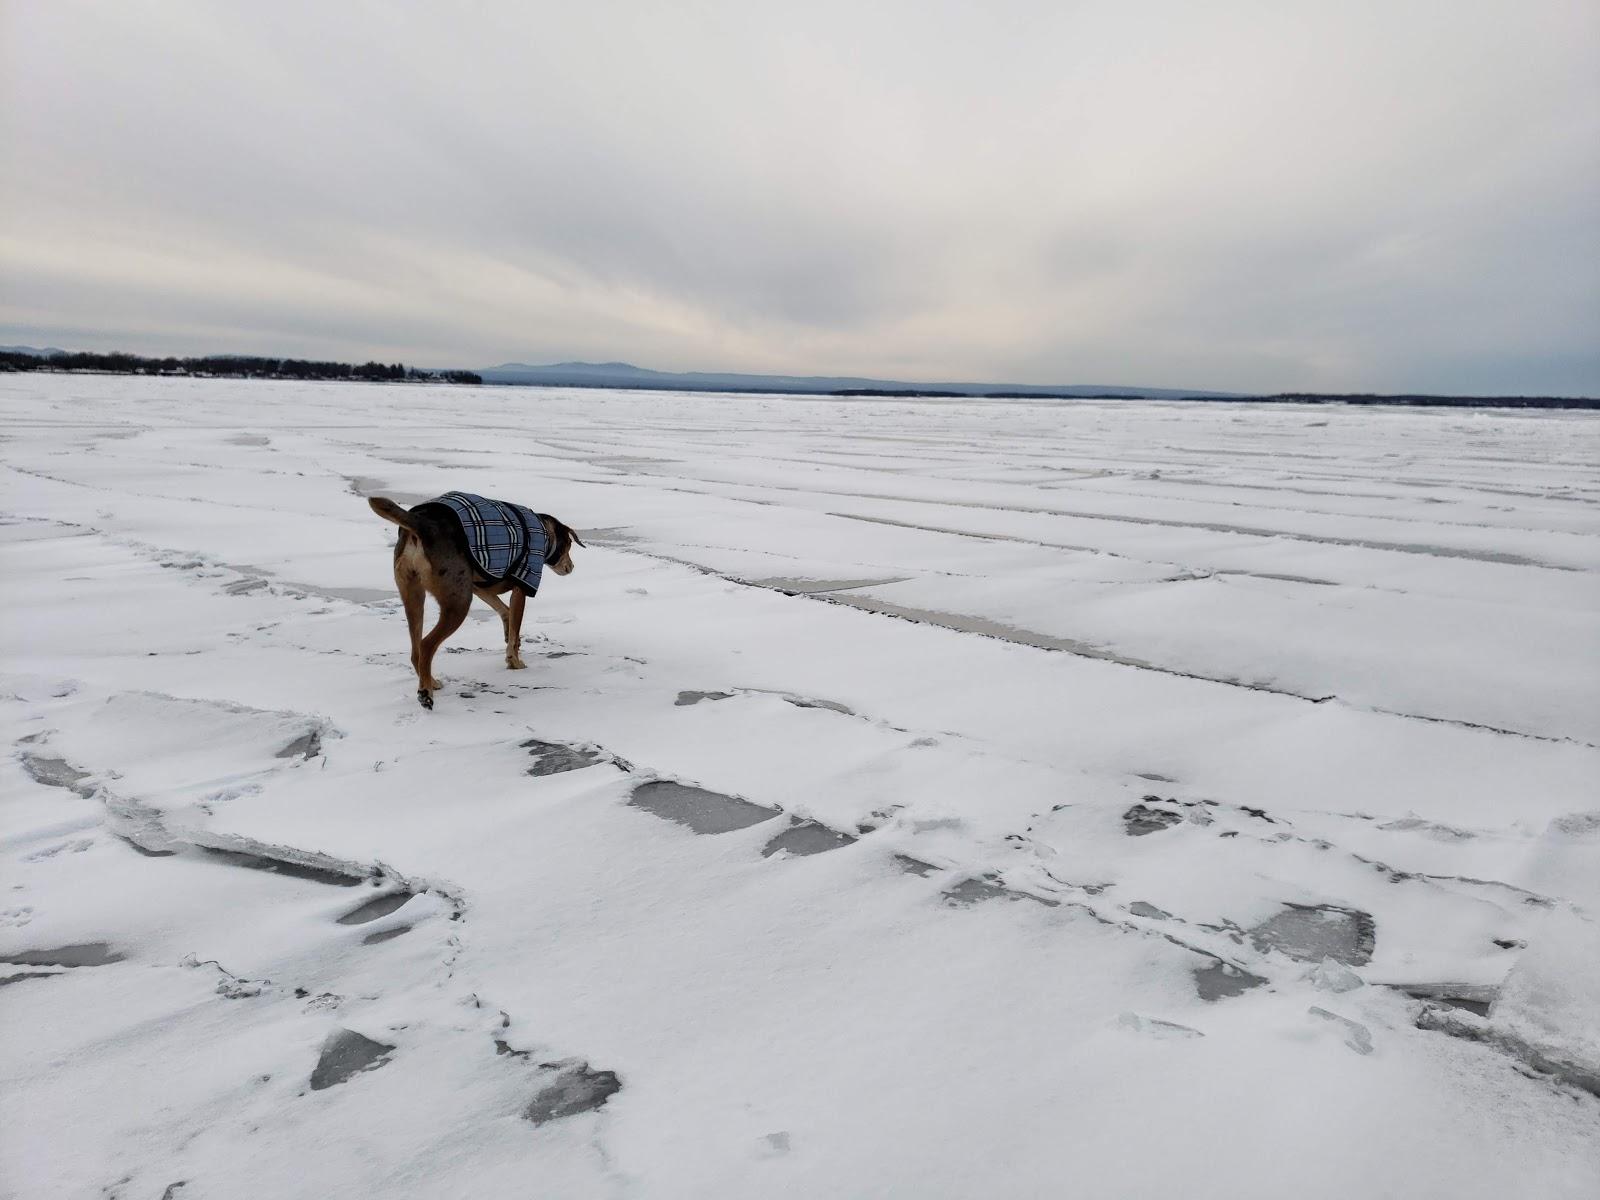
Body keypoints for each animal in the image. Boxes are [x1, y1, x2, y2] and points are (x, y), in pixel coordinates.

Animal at [366, 492, 582, 710]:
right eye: (569, 545)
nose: (571, 567)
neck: (544, 533)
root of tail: (421, 524)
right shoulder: (522, 583)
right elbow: (515, 626)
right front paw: (514, 661)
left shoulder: (479, 585)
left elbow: (506, 612)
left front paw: (508, 636)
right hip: (458, 600)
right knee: (426, 645)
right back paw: (425, 693)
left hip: (413, 595)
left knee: (415, 650)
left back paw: (431, 682)